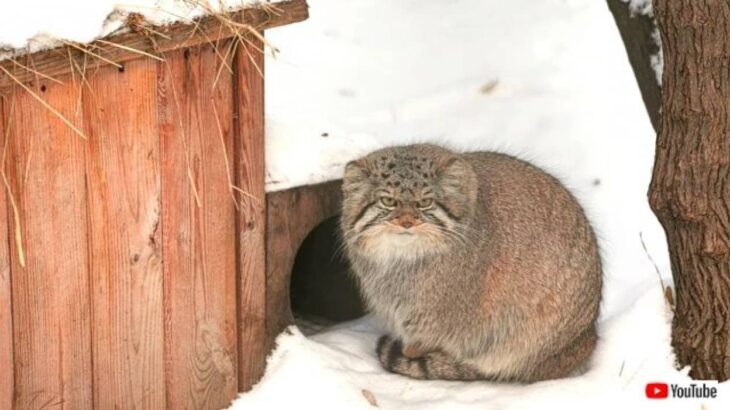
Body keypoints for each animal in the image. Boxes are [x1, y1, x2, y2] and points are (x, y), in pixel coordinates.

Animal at [338, 143, 600, 382]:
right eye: (388, 201)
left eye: (425, 203)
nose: (407, 222)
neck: (402, 260)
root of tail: (586, 339)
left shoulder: (436, 317)